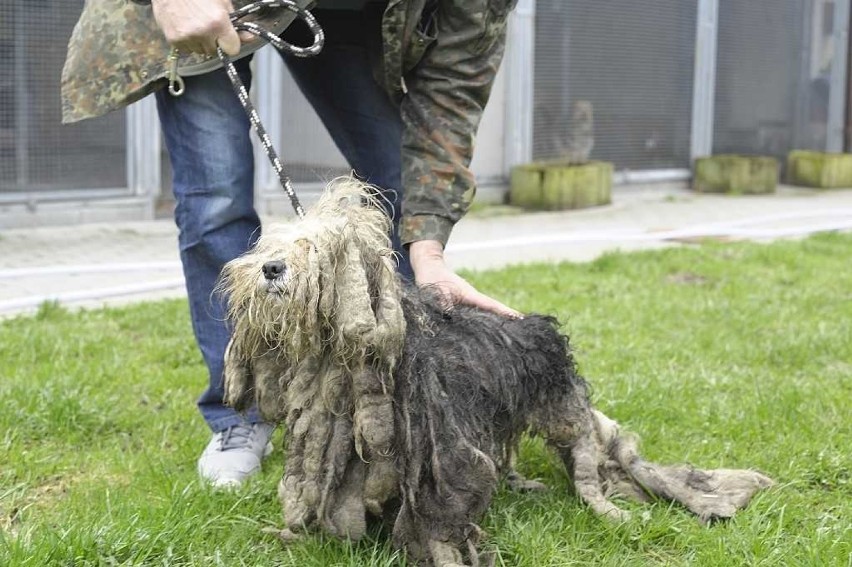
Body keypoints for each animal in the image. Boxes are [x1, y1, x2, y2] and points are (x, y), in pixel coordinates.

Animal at [220, 179, 772, 567]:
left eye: (318, 249)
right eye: (273, 244)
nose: (270, 268)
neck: (349, 366)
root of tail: (538, 327)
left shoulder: (442, 459)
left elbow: (441, 518)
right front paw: (295, 536)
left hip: (562, 408)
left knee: (589, 460)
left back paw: (606, 507)